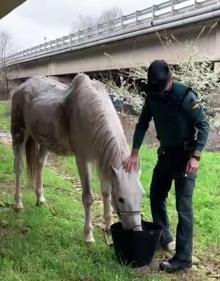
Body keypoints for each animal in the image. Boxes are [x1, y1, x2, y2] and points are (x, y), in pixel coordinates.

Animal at [10, 72, 144, 241]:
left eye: (142, 196)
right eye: (121, 199)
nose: (136, 231)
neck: (92, 115)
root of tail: (22, 87)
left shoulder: (104, 162)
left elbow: (106, 192)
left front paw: (108, 226)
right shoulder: (83, 160)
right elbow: (88, 197)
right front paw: (88, 235)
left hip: (45, 141)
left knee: (39, 163)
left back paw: (40, 199)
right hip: (19, 134)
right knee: (19, 168)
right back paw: (18, 203)